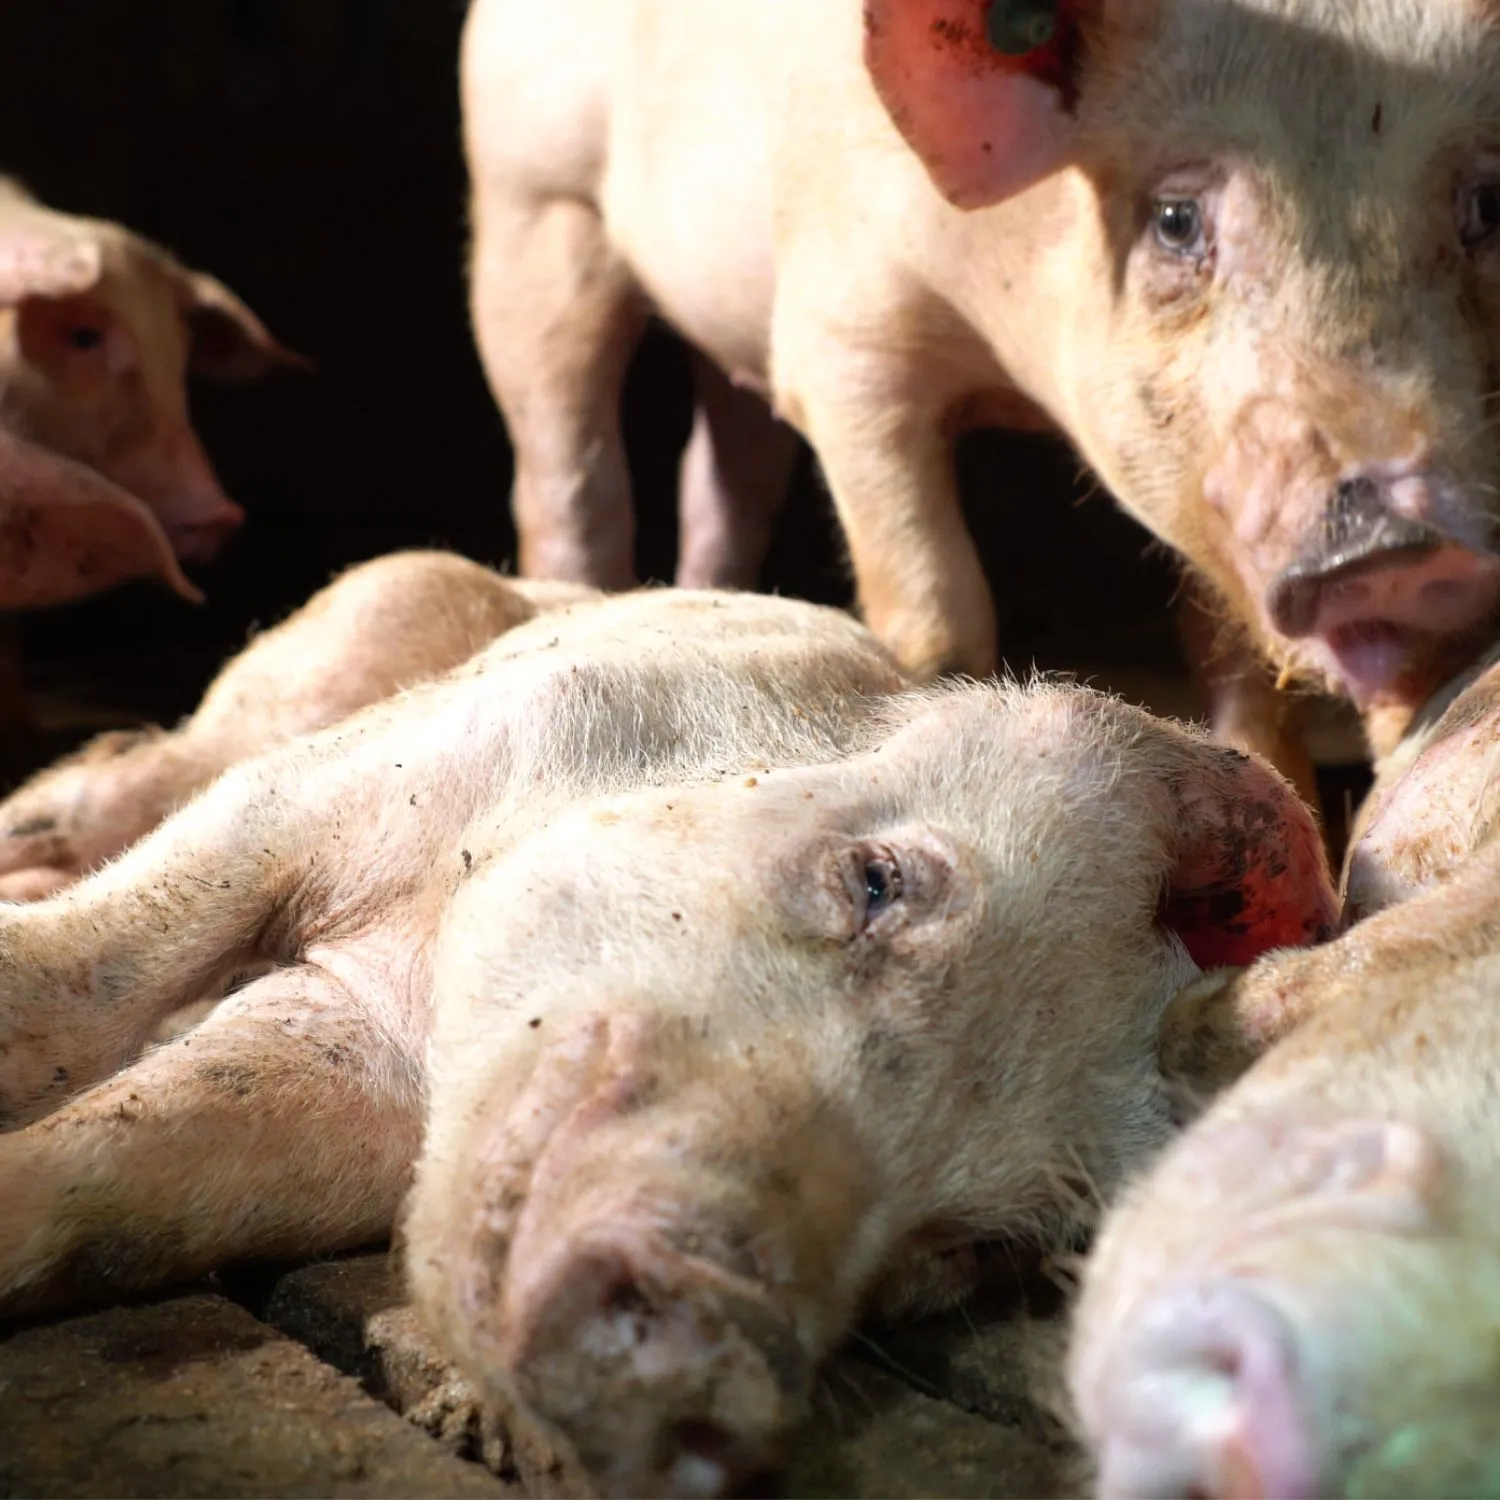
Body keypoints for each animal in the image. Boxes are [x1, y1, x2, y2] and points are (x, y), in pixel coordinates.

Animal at [463, 0, 1500, 787]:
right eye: (1175, 219)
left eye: (1489, 207)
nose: (1399, 545)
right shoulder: (841, 341)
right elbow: (934, 609)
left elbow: (1228, 653)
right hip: (530, 204)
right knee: (567, 473)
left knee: (725, 479)